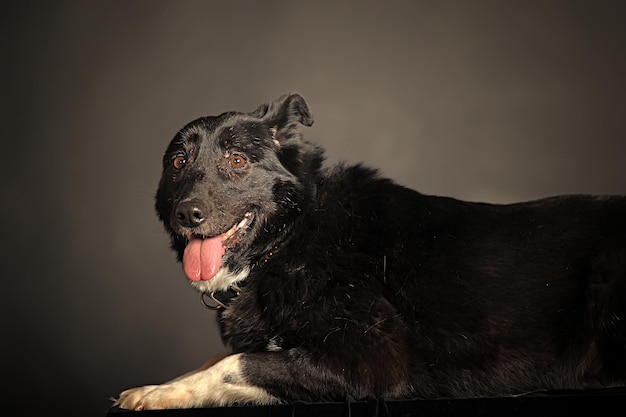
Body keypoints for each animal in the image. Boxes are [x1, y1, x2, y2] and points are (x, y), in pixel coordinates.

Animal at [116, 92, 624, 408]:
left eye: (237, 161)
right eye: (178, 162)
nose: (187, 214)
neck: (294, 237)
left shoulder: (371, 361)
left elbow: (236, 363)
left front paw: (160, 393)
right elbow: (218, 359)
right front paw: (161, 387)